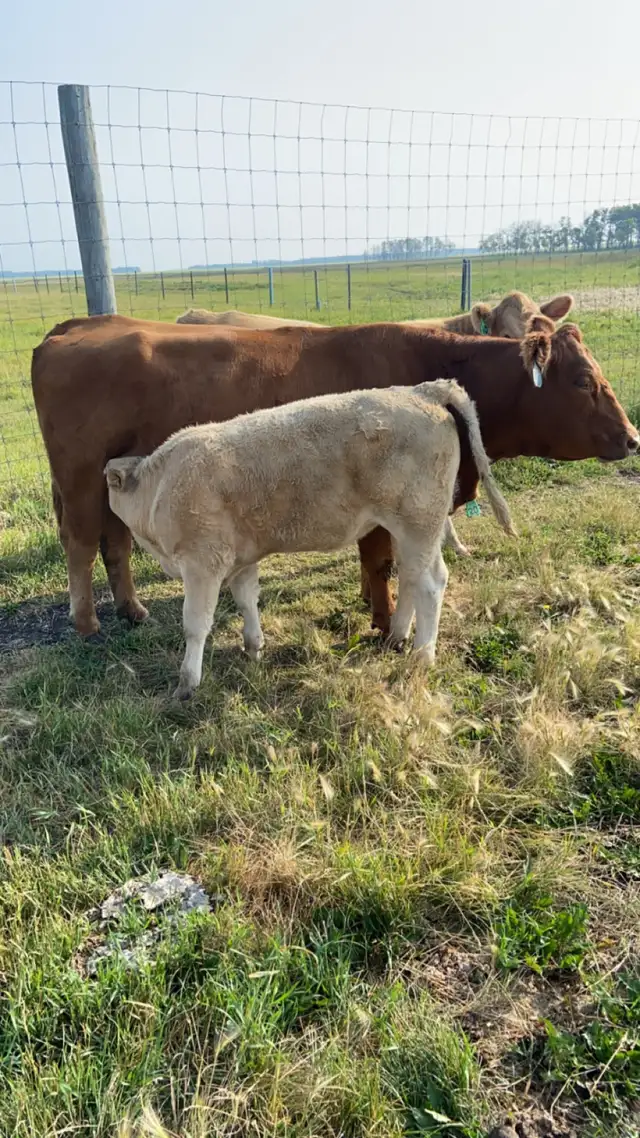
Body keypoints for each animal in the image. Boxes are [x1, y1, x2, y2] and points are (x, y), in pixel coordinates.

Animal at [31, 314, 638, 640]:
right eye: (584, 381)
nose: (632, 437)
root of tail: (80, 325)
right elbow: (380, 561)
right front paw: (384, 621)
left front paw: (375, 609)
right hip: (80, 478)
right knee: (80, 545)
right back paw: (87, 624)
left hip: (114, 479)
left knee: (115, 542)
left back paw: (131, 610)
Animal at [104, 380, 515, 699]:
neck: (161, 485)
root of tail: (422, 390)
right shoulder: (241, 558)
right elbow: (247, 601)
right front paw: (253, 646)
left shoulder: (202, 562)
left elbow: (196, 623)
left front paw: (187, 683)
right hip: (410, 531)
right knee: (413, 579)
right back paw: (397, 637)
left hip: (418, 523)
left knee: (431, 585)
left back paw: (422, 656)